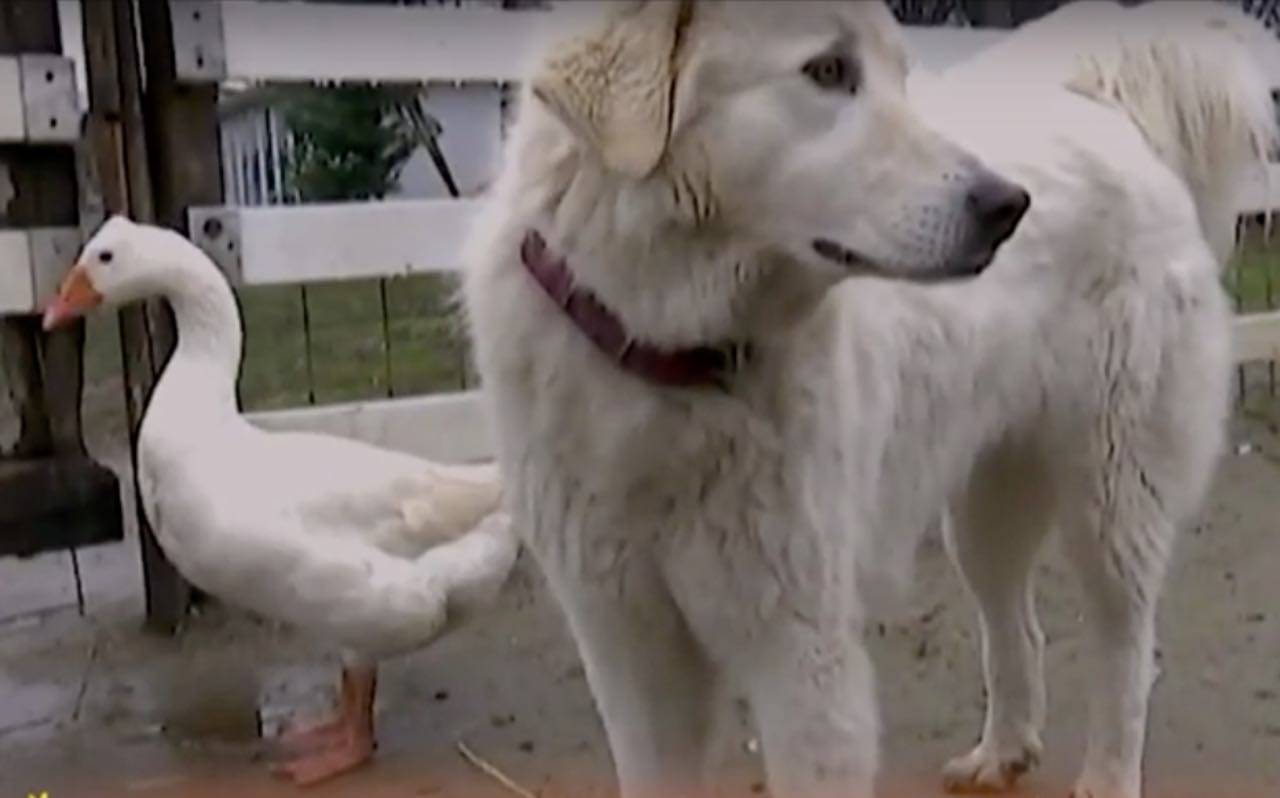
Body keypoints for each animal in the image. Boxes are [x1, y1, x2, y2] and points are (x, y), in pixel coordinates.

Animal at [463, 1, 1280, 798]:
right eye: (828, 70)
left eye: (900, 75)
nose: (1008, 205)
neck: (667, 362)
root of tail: (1100, 107)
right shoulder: (629, 648)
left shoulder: (802, 656)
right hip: (984, 511)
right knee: (1018, 628)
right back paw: (1000, 753)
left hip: (1112, 504)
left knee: (1126, 653)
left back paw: (1106, 775)